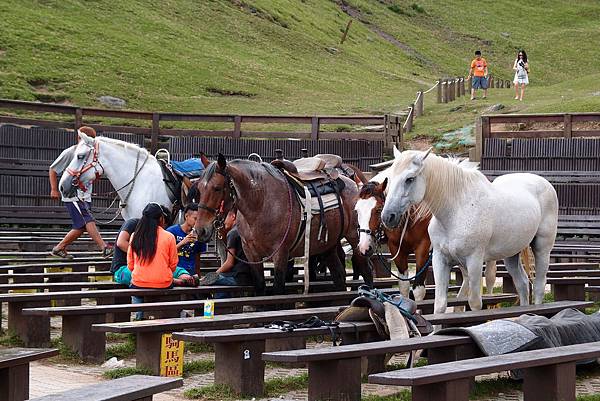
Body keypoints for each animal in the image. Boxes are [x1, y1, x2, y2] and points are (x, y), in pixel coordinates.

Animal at [193, 155, 370, 296]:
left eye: (217, 188)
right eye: (199, 188)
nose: (200, 230)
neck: (262, 203)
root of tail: (354, 183)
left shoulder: (281, 253)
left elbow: (278, 288)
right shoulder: (251, 254)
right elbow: (260, 286)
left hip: (355, 238)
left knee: (365, 269)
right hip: (328, 245)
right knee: (339, 275)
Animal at [380, 148, 556, 312]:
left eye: (409, 179)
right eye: (390, 179)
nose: (388, 216)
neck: (456, 211)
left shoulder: (474, 261)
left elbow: (475, 303)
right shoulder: (440, 260)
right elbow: (440, 304)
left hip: (542, 249)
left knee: (539, 286)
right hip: (511, 254)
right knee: (523, 284)